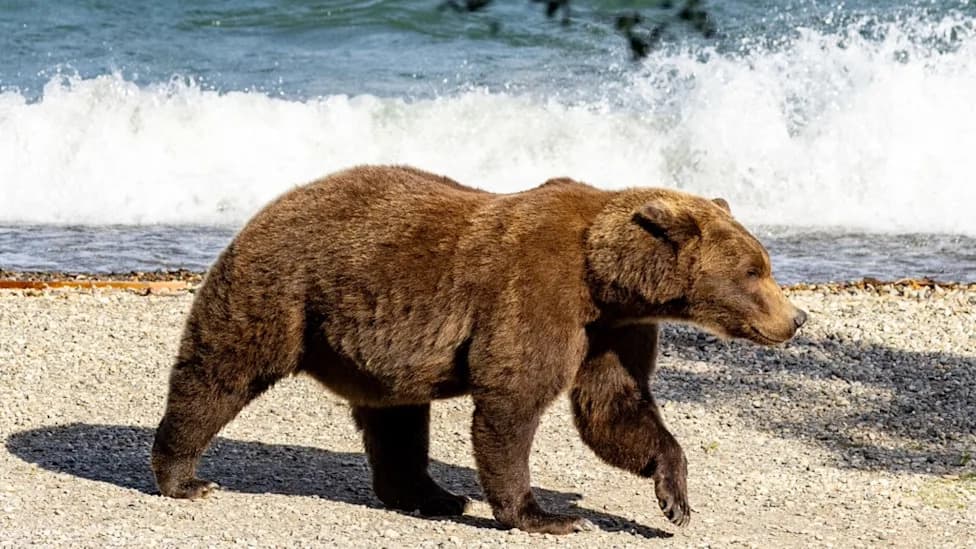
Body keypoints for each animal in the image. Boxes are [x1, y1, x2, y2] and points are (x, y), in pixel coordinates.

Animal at [151, 165, 806, 534]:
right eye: (755, 270)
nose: (796, 318)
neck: (606, 279)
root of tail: (269, 204)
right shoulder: (539, 292)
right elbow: (512, 401)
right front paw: (547, 515)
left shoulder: (613, 331)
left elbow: (614, 408)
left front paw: (674, 498)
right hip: (284, 289)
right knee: (220, 370)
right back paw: (184, 476)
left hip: (375, 347)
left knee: (396, 420)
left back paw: (435, 496)